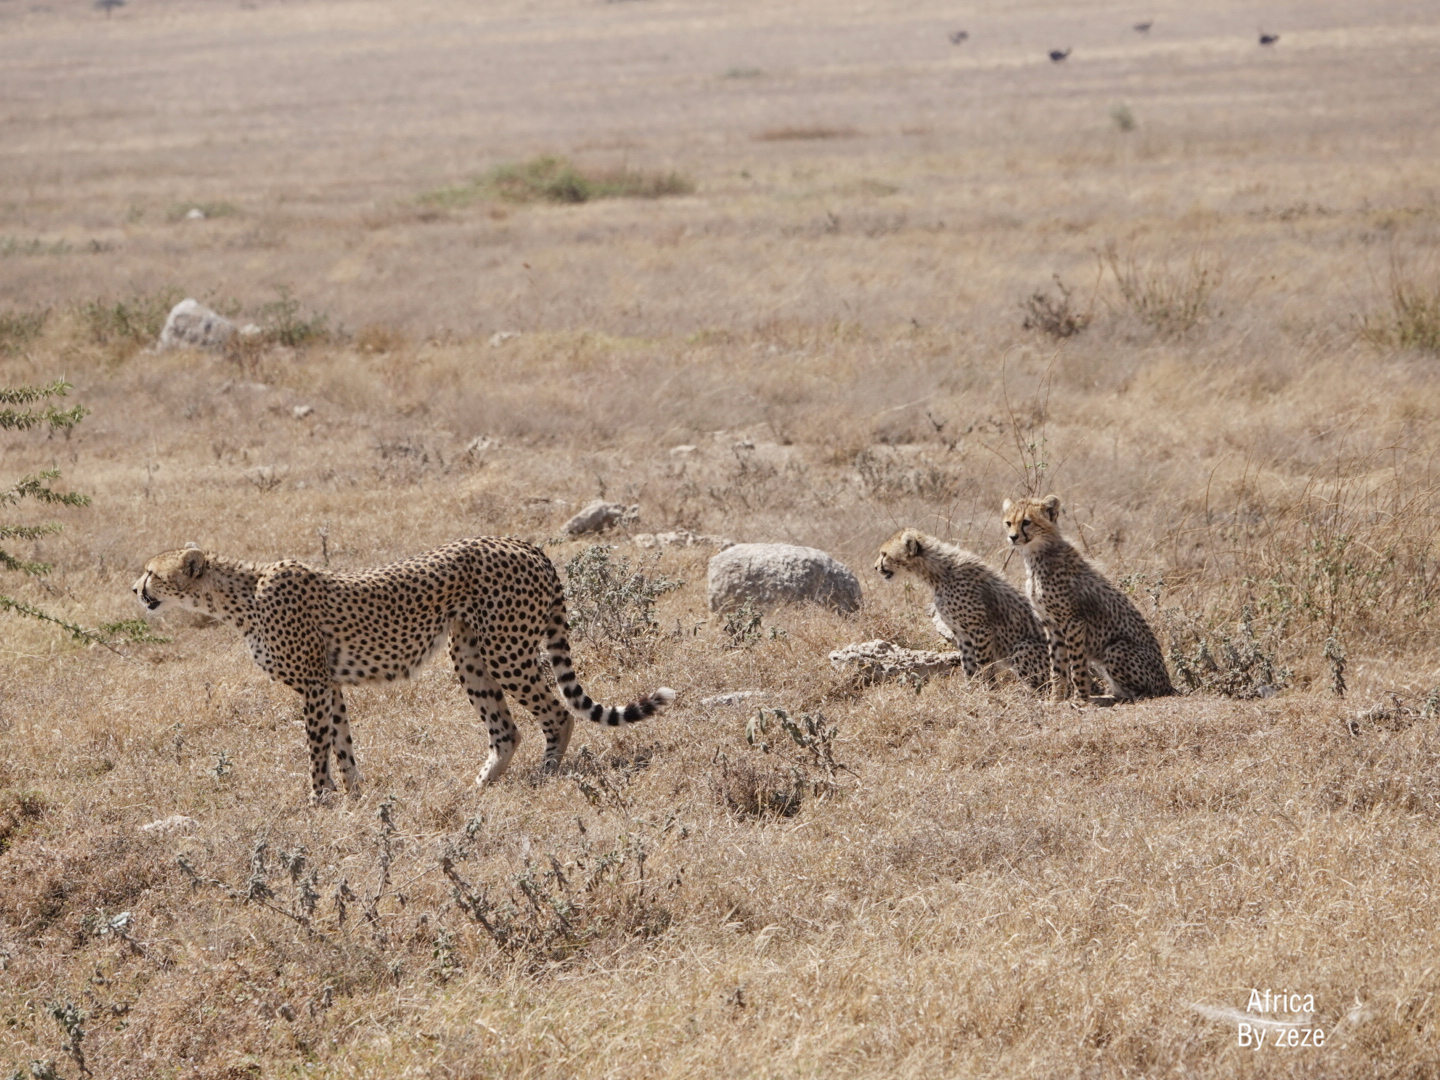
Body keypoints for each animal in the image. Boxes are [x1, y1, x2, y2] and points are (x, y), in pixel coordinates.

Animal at [135, 541, 673, 806]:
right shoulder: (329, 685)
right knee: (506, 729)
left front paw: (318, 799)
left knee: (557, 714)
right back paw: (478, 787)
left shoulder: (312, 685)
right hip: (469, 653)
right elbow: (343, 743)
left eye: (152, 572)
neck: (238, 597)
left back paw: (546, 775)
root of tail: (523, 542)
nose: (135, 590)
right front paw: (356, 796)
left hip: (506, 648)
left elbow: (316, 749)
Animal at [875, 529, 1048, 688]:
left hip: (1023, 646)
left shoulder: (981, 629)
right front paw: (971, 689)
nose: (876, 567)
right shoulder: (962, 633)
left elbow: (984, 663)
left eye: (884, 554)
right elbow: (968, 663)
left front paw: (988, 689)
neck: (937, 574)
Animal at [1002, 498, 1169, 702]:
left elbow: (1077, 664)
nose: (1013, 537)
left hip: (1116, 648)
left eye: (1026, 522)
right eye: (1008, 523)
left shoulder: (1073, 622)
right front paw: (1056, 699)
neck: (1037, 555)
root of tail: (1168, 683)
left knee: (1145, 694)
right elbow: (1057, 666)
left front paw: (1080, 698)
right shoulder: (1051, 624)